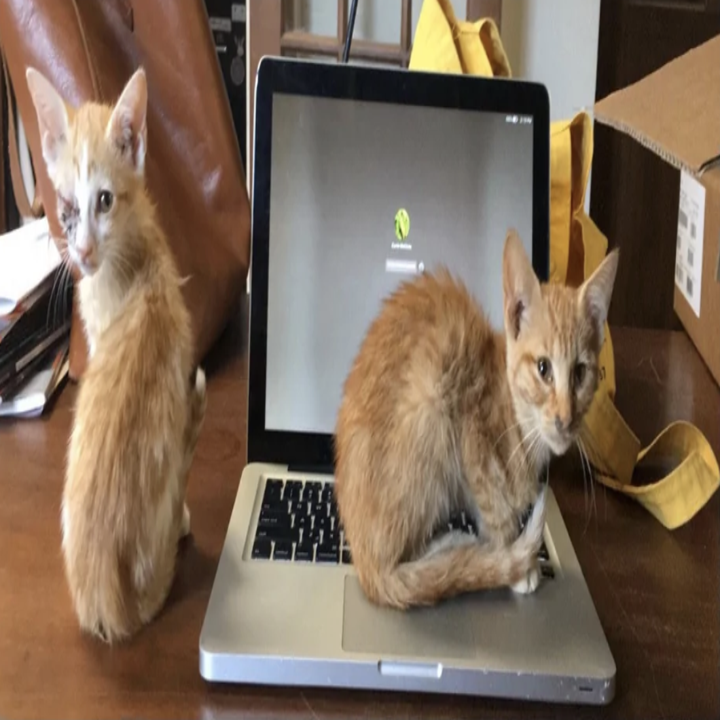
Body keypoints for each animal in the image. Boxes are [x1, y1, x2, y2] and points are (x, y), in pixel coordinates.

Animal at [334, 229, 620, 608]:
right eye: (543, 368)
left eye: (580, 373)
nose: (565, 418)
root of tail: (365, 570)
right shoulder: (472, 437)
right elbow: (495, 510)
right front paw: (514, 561)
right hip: (430, 405)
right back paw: (452, 547)